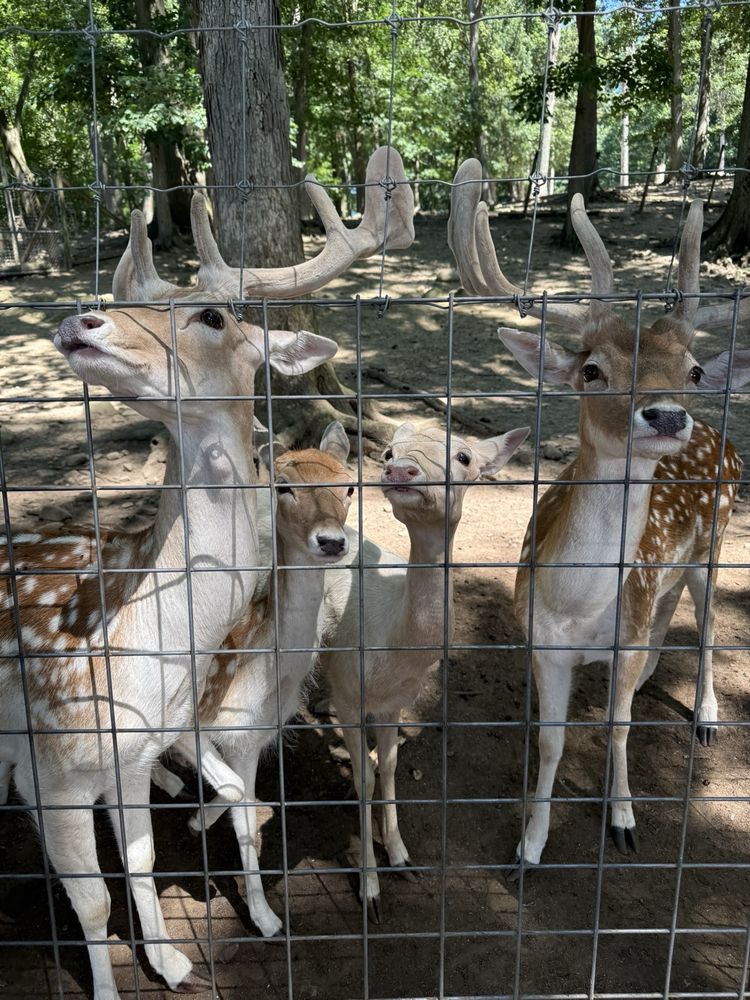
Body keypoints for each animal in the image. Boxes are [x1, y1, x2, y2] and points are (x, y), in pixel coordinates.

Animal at [151, 421, 354, 940]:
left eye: (349, 486)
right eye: (284, 486)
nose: (331, 541)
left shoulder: (249, 740)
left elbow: (247, 814)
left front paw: (265, 918)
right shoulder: (188, 722)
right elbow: (238, 797)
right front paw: (198, 824)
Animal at [319, 421, 529, 919]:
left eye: (465, 457)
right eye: (388, 451)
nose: (401, 469)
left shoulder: (396, 701)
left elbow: (391, 765)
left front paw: (402, 858)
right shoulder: (349, 689)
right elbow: (364, 777)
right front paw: (370, 891)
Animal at [448, 157, 750, 869]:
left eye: (692, 370)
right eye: (592, 369)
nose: (666, 415)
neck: (578, 611)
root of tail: (722, 439)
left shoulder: (624, 631)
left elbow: (616, 728)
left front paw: (623, 819)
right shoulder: (542, 644)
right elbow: (553, 741)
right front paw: (529, 845)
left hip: (716, 542)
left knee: (705, 625)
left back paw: (706, 717)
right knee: (669, 609)